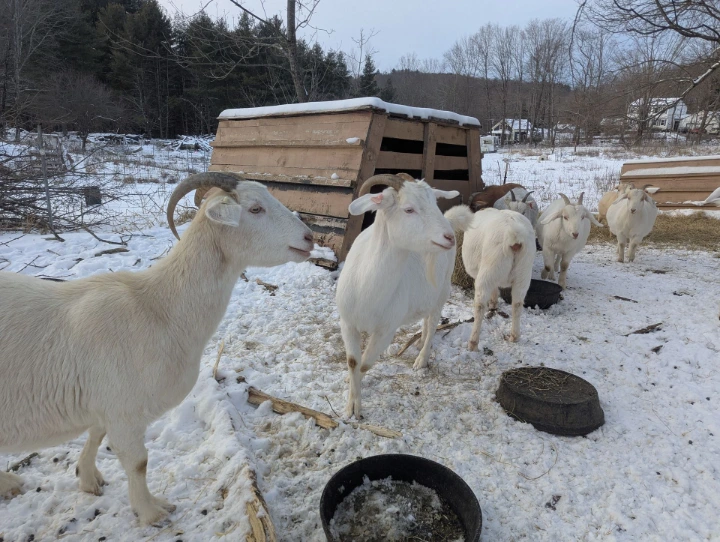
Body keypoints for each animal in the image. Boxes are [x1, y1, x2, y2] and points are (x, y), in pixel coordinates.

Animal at [0, 172, 313, 524]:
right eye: (255, 208)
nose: (310, 237)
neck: (159, 308)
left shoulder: (107, 406)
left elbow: (96, 434)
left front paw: (88, 478)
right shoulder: (123, 409)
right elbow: (138, 462)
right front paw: (151, 511)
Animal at [336, 174, 461, 418]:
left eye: (435, 203)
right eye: (409, 209)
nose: (449, 237)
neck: (368, 288)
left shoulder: (386, 330)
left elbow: (365, 364)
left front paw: (356, 405)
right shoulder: (348, 323)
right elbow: (353, 361)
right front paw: (350, 399)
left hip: (442, 291)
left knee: (433, 323)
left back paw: (421, 358)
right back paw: (419, 341)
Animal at [446, 205, 535, 350]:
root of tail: (515, 237)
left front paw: (492, 304)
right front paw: (494, 304)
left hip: (488, 270)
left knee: (480, 305)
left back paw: (473, 343)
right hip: (523, 274)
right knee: (517, 304)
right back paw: (514, 336)